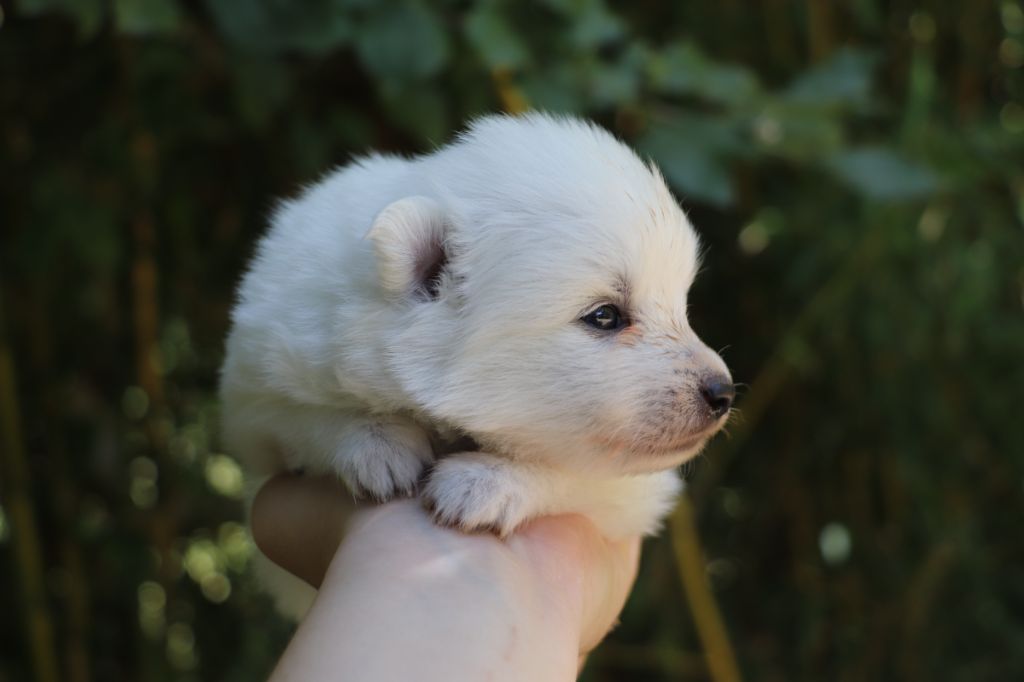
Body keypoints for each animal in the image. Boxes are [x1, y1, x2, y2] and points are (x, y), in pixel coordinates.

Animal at [220, 113, 733, 613]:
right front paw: (378, 445)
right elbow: (300, 417)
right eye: (605, 316)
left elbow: (582, 474)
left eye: (682, 305)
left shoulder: (636, 491)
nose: (723, 392)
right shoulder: (259, 374)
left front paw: (485, 481)